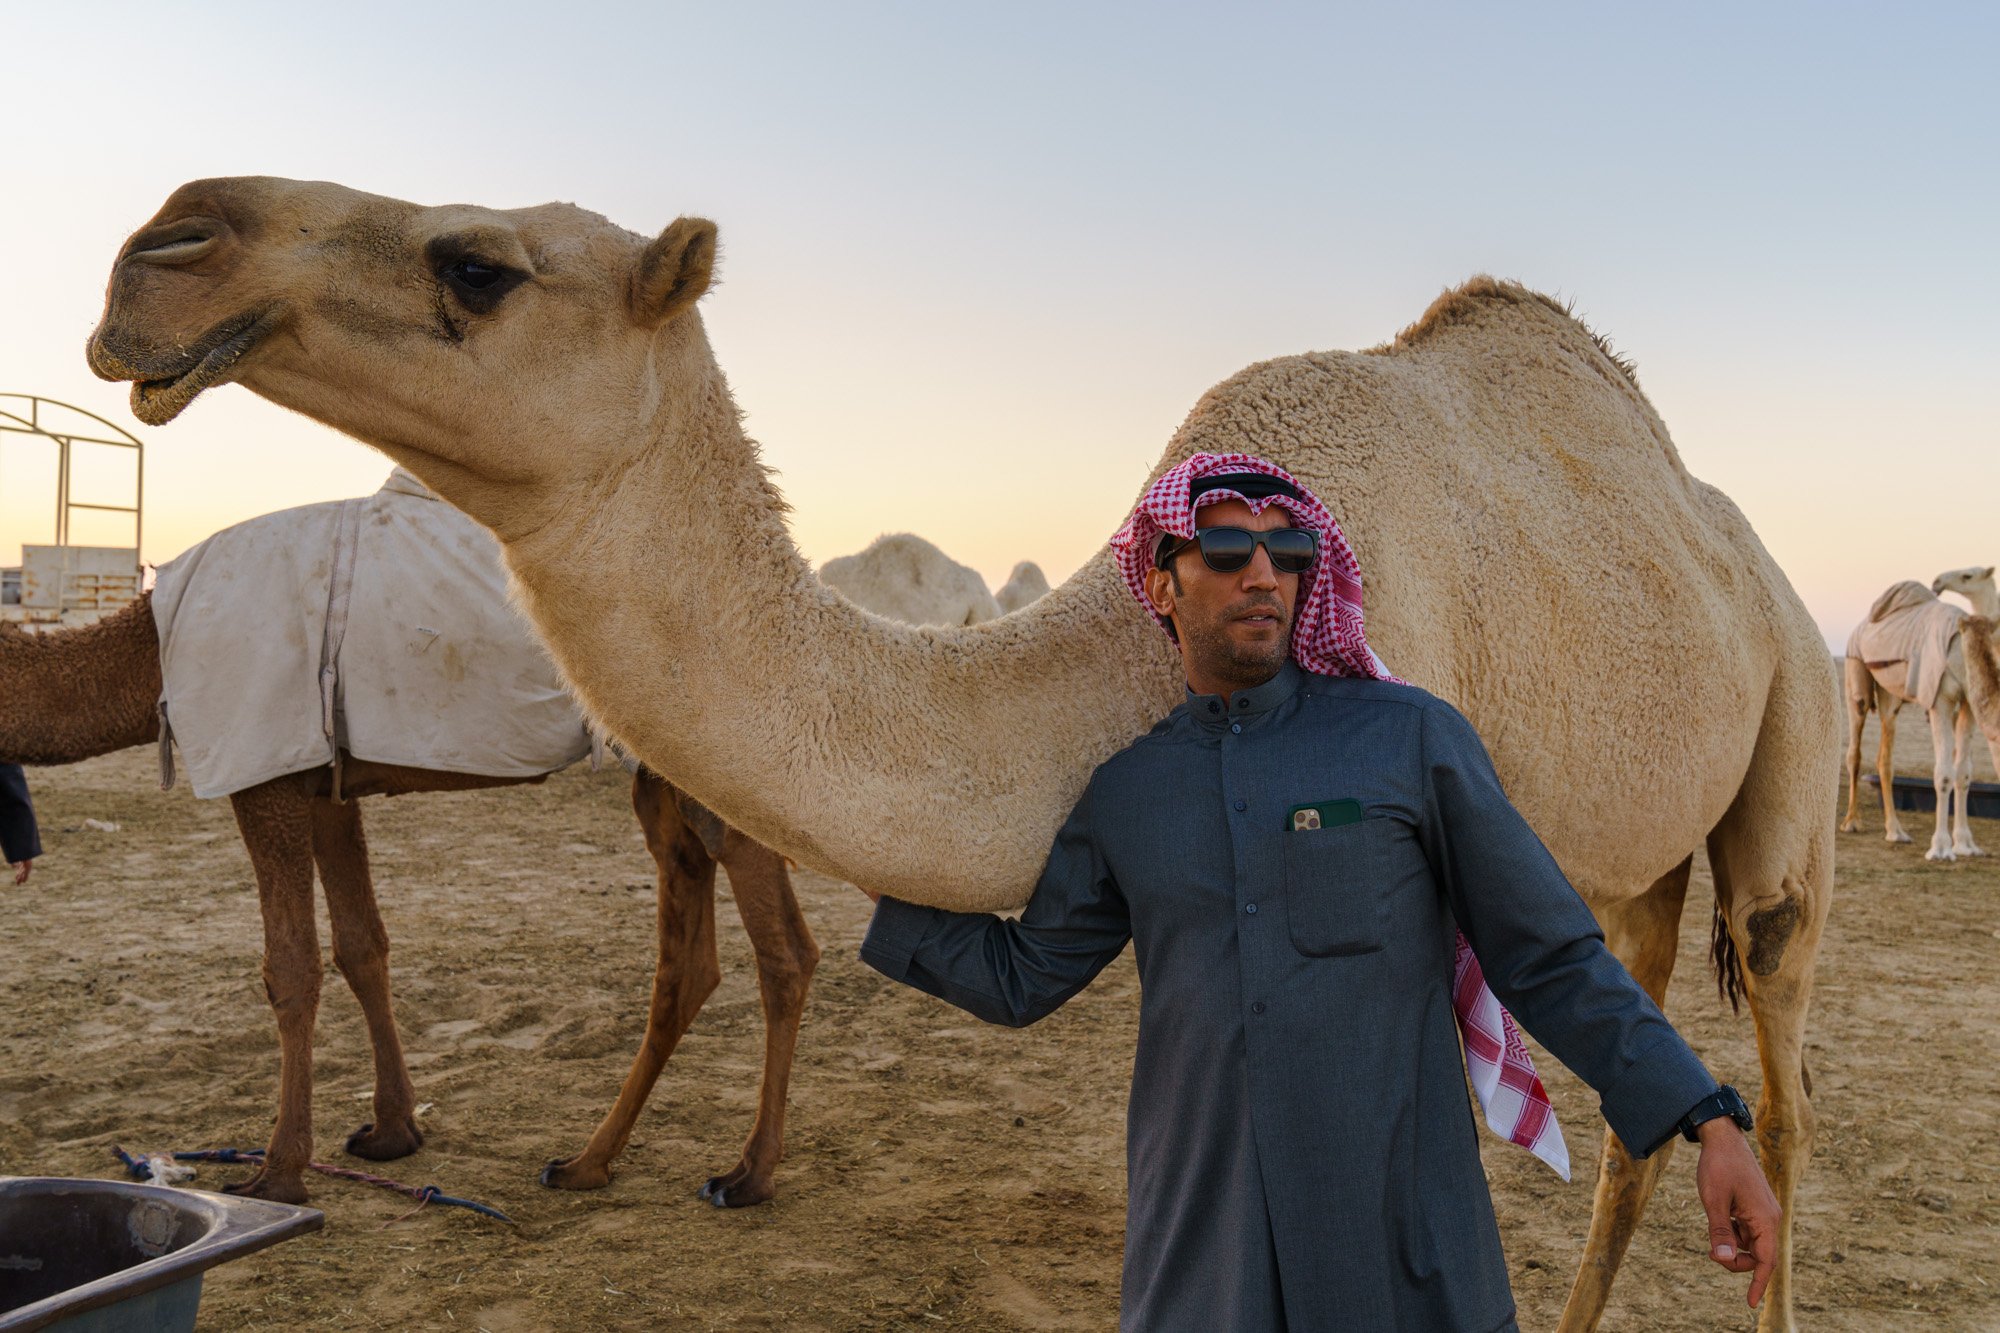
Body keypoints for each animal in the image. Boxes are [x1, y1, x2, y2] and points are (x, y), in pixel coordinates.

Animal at [1, 596, 812, 1200]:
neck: (150, 647)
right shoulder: (323, 781)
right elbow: (362, 944)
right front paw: (393, 1132)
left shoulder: (265, 774)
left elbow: (289, 968)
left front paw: (278, 1172)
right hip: (664, 780)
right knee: (689, 964)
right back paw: (584, 1163)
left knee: (786, 955)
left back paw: (747, 1175)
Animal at [1840, 564, 2000, 856]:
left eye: (1968, 575)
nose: (1938, 581)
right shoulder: (1940, 699)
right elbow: (1943, 773)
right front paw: (1940, 847)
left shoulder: (1969, 704)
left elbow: (1964, 773)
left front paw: (1966, 845)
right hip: (1854, 669)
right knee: (1854, 749)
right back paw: (1852, 822)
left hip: (1890, 695)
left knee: (1885, 757)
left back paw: (1896, 831)